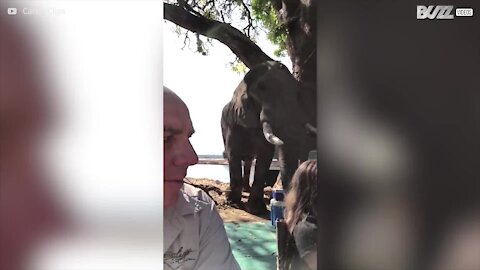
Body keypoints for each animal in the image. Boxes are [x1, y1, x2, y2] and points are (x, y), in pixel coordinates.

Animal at [220, 60, 316, 214]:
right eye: (261, 88)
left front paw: (256, 209)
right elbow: (233, 152)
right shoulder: (234, 121)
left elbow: (264, 155)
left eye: (296, 94)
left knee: (249, 160)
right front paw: (233, 203)